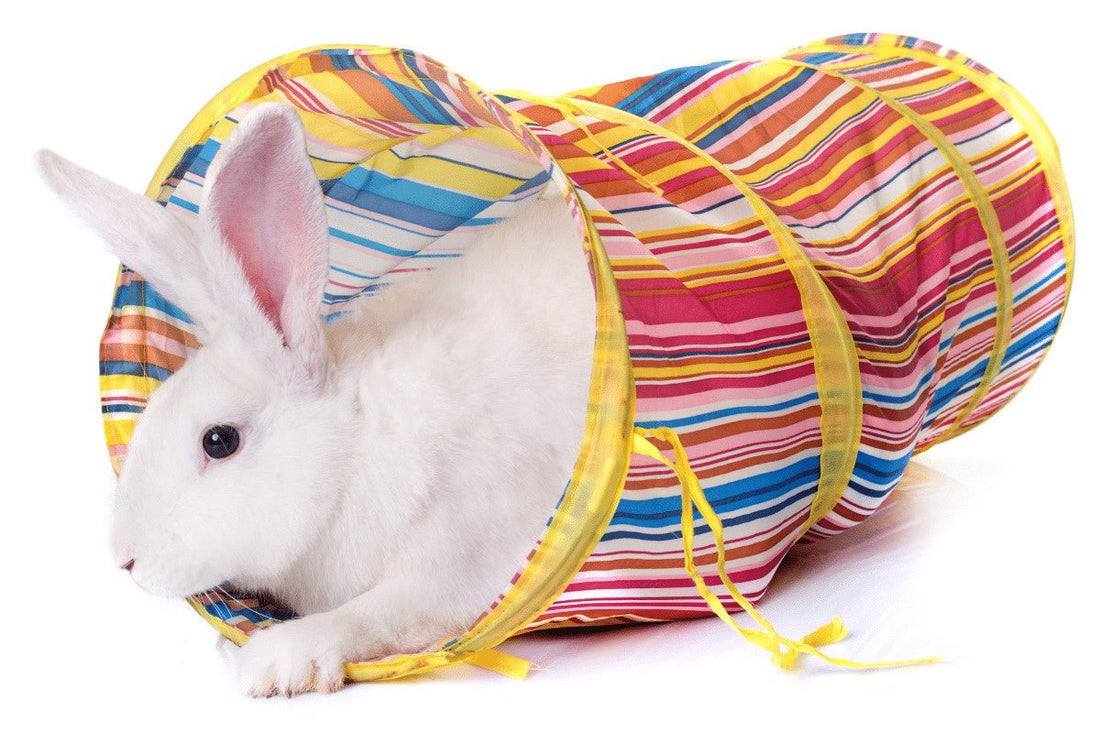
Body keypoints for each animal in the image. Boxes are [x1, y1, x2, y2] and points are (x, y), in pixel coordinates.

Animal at [34, 102, 596, 696]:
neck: (352, 447)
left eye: (218, 441)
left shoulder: (461, 566)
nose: (126, 561)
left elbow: (376, 614)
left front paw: (273, 662)